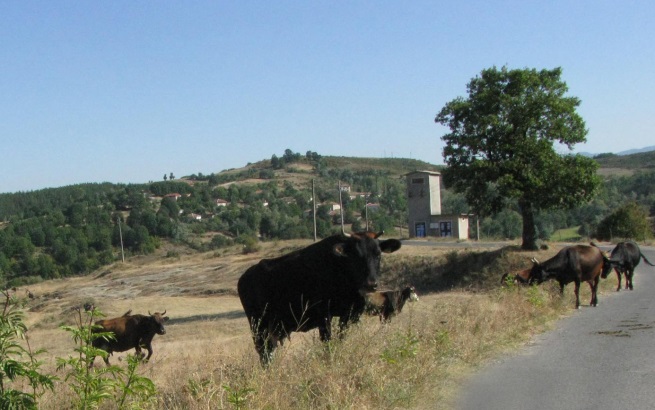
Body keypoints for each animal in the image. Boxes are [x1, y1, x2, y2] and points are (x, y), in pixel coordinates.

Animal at [236, 231, 400, 366]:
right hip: (258, 326)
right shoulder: (323, 316)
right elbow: (327, 341)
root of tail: (244, 277)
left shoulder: (349, 314)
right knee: (264, 353)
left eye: (378, 254)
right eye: (356, 256)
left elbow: (341, 338)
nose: (371, 284)